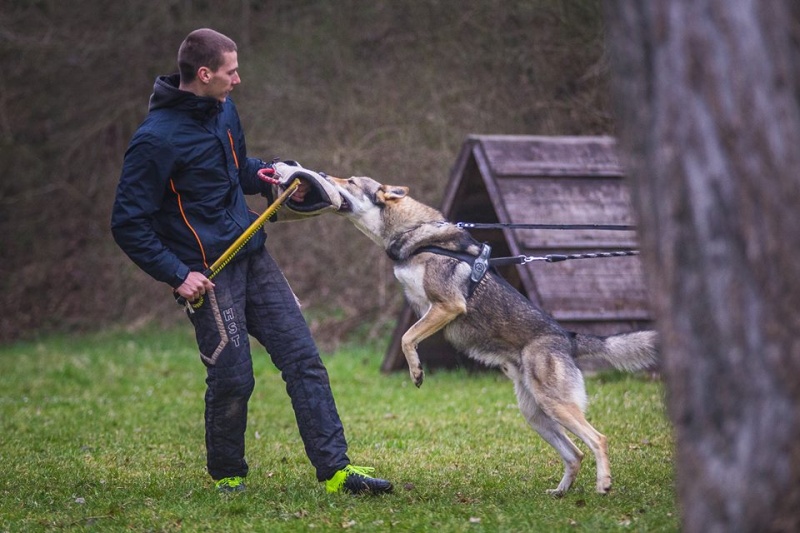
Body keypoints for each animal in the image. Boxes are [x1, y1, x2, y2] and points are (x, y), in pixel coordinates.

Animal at [324, 175, 656, 494]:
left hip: (555, 406)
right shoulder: (429, 310)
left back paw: (603, 485)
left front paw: (417, 373)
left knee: (598, 439)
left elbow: (407, 338)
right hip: (535, 414)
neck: (414, 235)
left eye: (351, 181)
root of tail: (568, 337)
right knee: (575, 454)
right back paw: (559, 492)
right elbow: (410, 336)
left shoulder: (447, 306)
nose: (324, 175)